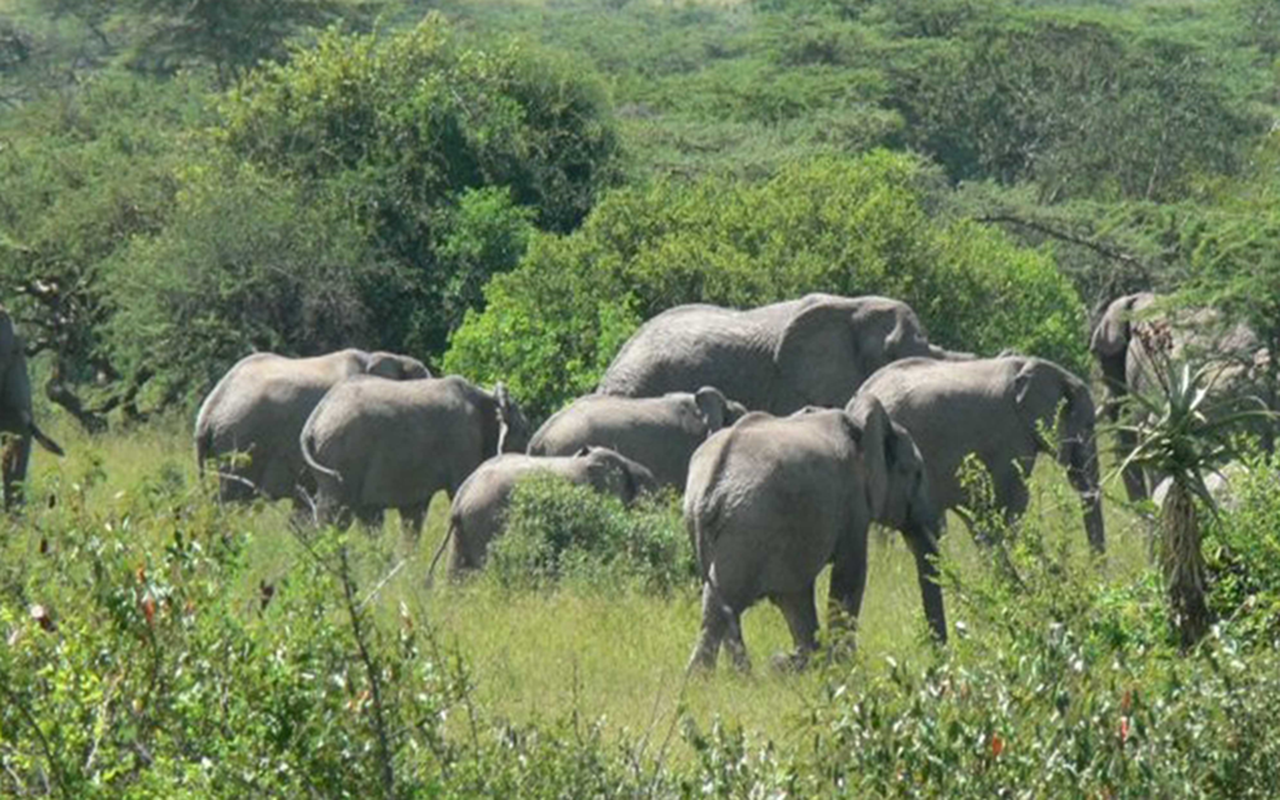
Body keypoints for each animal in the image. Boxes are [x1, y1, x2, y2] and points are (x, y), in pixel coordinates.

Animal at [300, 375, 531, 538]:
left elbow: (413, 513)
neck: (487, 399)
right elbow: (456, 488)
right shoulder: (463, 442)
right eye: (525, 432)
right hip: (343, 455)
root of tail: (314, 420)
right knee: (336, 516)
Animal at [684, 396, 946, 673]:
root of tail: (709, 487)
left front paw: (812, 663)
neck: (859, 423)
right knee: (723, 605)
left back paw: (735, 676)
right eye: (917, 473)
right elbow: (850, 575)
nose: (935, 662)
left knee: (719, 605)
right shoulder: (852, 502)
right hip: (748, 530)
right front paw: (841, 666)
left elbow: (797, 595)